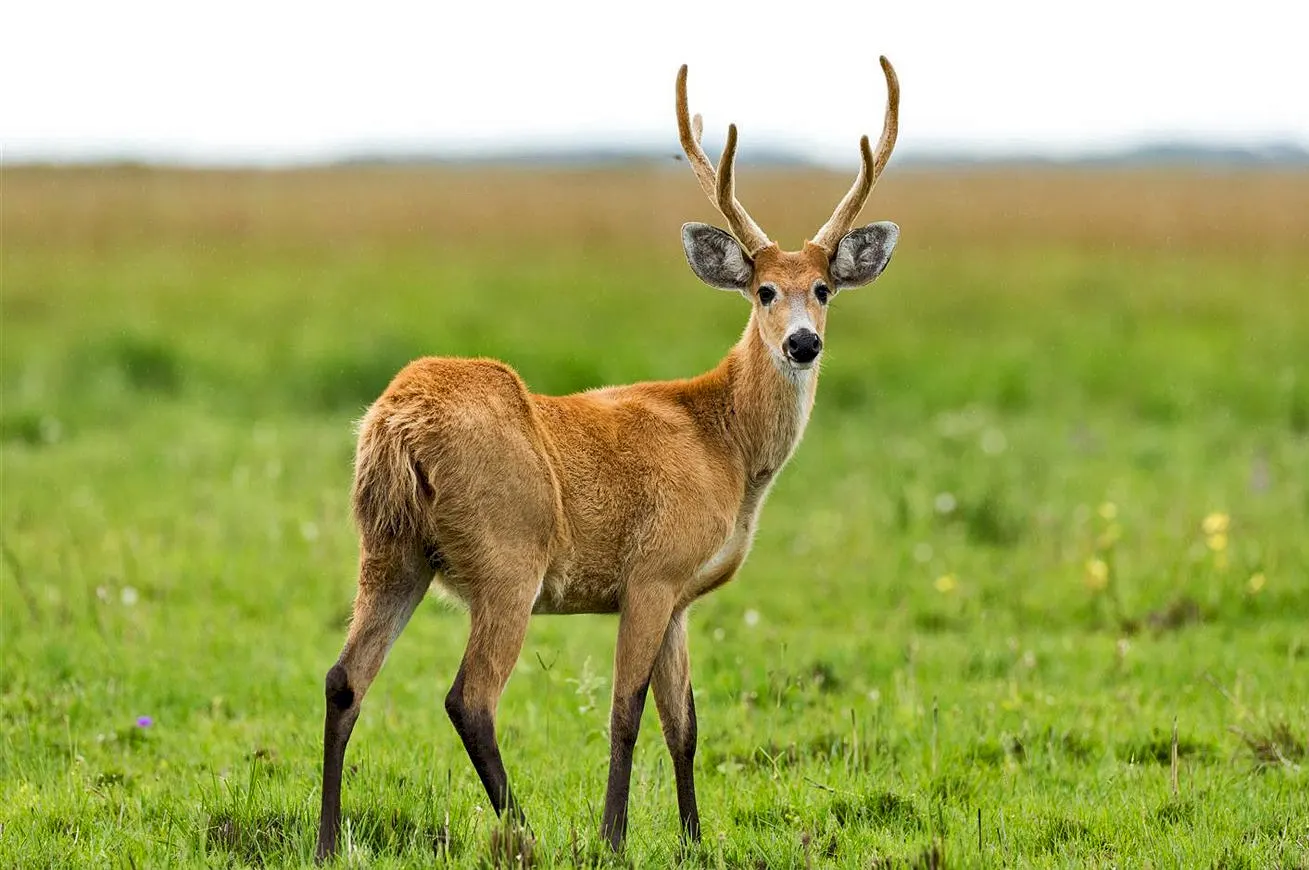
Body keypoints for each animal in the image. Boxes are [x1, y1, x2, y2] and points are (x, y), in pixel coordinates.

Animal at [315, 56, 901, 861]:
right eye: (762, 290)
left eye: (824, 289)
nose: (802, 342)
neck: (722, 443)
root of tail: (395, 425)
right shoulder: (650, 573)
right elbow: (626, 712)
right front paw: (614, 837)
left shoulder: (681, 596)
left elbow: (685, 724)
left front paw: (693, 840)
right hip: (508, 556)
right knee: (468, 698)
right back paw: (526, 834)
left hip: (390, 550)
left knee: (344, 679)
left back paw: (325, 842)